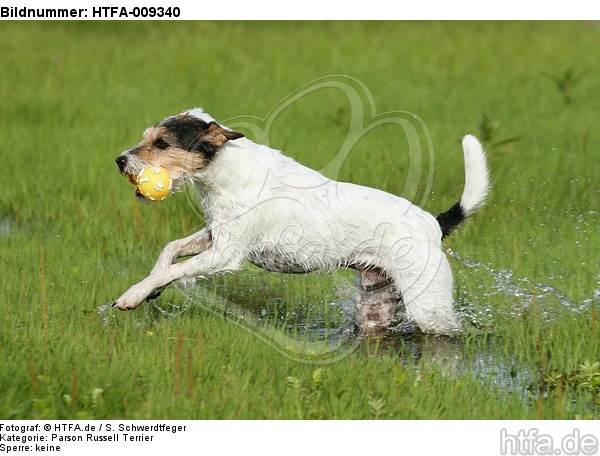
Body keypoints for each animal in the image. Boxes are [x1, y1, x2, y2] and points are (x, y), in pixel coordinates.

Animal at [111, 107, 488, 334]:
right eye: (147, 138)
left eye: (161, 143)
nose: (119, 160)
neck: (224, 171)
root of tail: (433, 225)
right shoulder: (215, 234)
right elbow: (169, 251)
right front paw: (152, 288)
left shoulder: (225, 254)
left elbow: (175, 268)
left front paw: (133, 295)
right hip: (376, 303)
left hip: (429, 305)